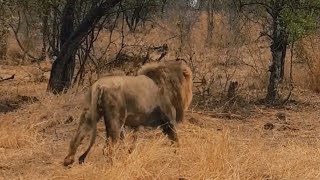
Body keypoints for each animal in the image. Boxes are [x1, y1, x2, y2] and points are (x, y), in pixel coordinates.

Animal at [62, 60, 192, 166]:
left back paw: (68, 161)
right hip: (116, 118)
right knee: (110, 148)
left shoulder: (137, 123)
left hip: (89, 114)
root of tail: (99, 86)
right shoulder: (168, 120)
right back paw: (115, 165)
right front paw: (179, 156)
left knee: (77, 136)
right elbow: (175, 140)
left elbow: (133, 140)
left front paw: (130, 154)